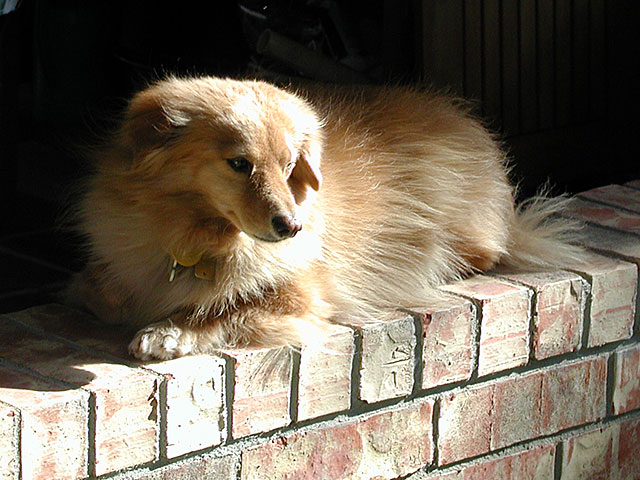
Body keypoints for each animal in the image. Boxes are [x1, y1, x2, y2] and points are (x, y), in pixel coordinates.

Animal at [66, 76, 584, 360]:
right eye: (239, 164)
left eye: (289, 166)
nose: (290, 226)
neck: (202, 236)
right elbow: (103, 292)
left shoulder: (299, 297)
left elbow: (224, 309)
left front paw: (167, 332)